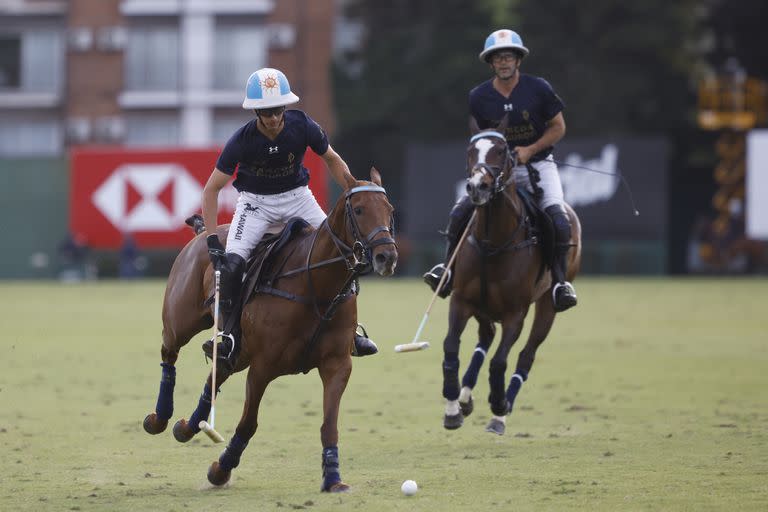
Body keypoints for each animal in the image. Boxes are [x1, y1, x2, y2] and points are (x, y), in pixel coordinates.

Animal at [142, 169, 402, 492]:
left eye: (390, 210)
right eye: (359, 210)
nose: (386, 257)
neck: (316, 285)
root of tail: (204, 232)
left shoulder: (337, 364)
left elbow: (329, 424)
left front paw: (333, 478)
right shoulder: (262, 367)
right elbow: (248, 423)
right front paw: (220, 470)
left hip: (238, 350)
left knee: (217, 370)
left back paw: (187, 427)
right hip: (182, 320)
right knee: (170, 351)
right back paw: (159, 418)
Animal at [440, 126, 580, 434]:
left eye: (502, 150)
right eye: (470, 151)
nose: (477, 187)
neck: (492, 242)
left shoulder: (516, 313)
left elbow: (499, 361)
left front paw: (498, 405)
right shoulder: (461, 300)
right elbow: (450, 347)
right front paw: (452, 408)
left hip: (547, 306)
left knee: (526, 354)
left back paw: (500, 412)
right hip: (482, 305)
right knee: (486, 336)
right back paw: (465, 397)